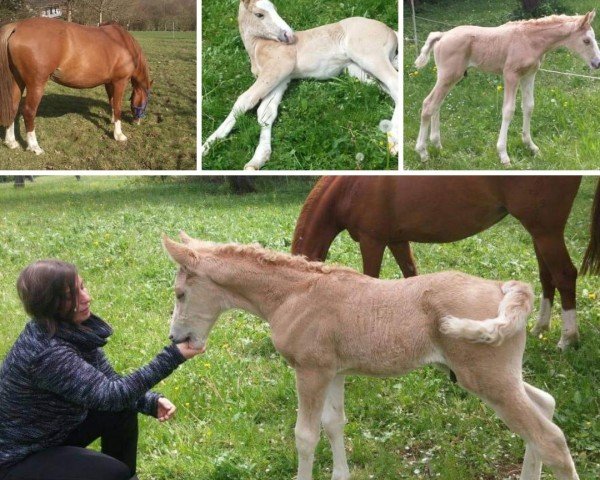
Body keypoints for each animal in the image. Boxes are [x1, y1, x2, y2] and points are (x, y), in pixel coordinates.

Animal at [0, 17, 152, 154]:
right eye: (146, 101)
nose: (137, 121)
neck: (124, 43)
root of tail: (17, 26)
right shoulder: (120, 82)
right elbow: (118, 107)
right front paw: (119, 135)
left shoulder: (109, 83)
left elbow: (112, 103)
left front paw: (113, 121)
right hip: (36, 84)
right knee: (28, 111)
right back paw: (34, 147)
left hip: (17, 81)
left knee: (12, 108)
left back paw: (11, 142)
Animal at [202, 0, 398, 170]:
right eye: (259, 14)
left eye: (275, 8)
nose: (289, 35)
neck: (258, 46)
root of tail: (391, 30)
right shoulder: (282, 78)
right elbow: (266, 112)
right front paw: (258, 160)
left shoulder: (279, 67)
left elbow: (245, 100)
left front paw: (207, 145)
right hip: (357, 70)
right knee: (388, 88)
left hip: (370, 56)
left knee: (394, 82)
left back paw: (394, 143)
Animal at [290, 176, 600, 348]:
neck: (349, 187)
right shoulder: (397, 240)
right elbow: (411, 276)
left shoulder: (372, 241)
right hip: (539, 232)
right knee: (547, 276)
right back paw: (540, 328)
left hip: (546, 231)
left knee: (564, 274)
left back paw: (568, 339)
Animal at [414, 11, 600, 165]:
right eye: (586, 40)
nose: (597, 63)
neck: (530, 40)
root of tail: (442, 35)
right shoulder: (511, 74)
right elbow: (508, 110)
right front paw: (503, 154)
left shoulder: (529, 74)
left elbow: (529, 106)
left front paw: (531, 146)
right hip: (449, 75)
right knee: (428, 104)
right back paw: (422, 152)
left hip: (447, 77)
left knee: (437, 104)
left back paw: (437, 145)